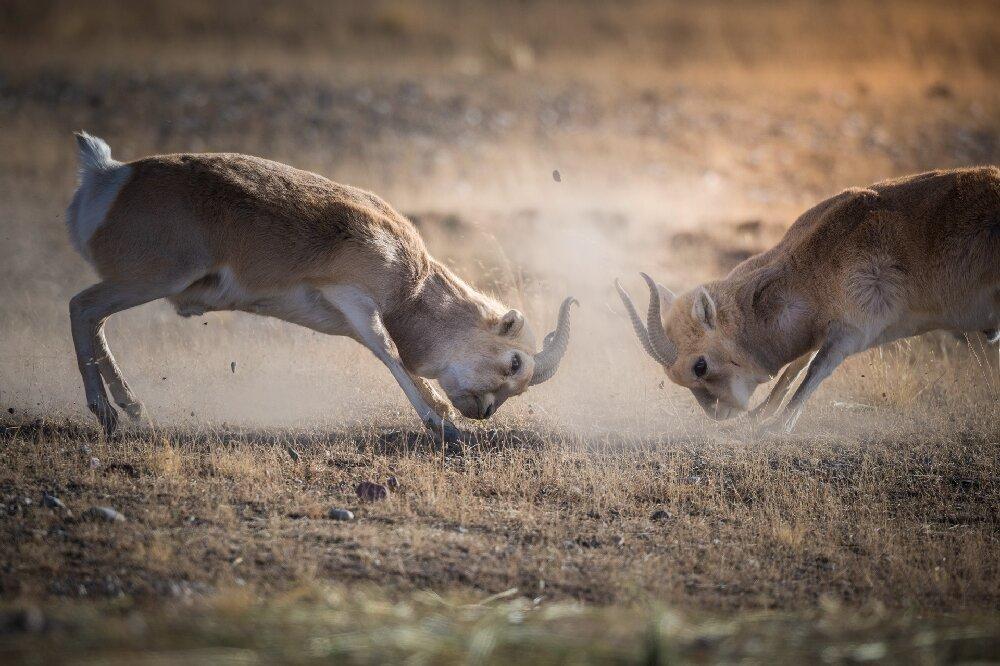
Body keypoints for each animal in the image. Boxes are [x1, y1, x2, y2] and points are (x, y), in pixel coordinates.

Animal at [66, 132, 576, 438]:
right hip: (152, 279)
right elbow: (390, 352)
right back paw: (106, 414)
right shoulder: (355, 300)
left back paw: (133, 408)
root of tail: (110, 176)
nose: (484, 412)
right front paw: (442, 424)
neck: (412, 282)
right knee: (81, 308)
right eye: (514, 363)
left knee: (94, 319)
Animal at [616, 167, 1000, 430]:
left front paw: (776, 427)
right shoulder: (821, 331)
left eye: (700, 366)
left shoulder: (851, 333)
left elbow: (814, 369)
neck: (815, 260)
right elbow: (793, 368)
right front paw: (760, 416)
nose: (718, 414)